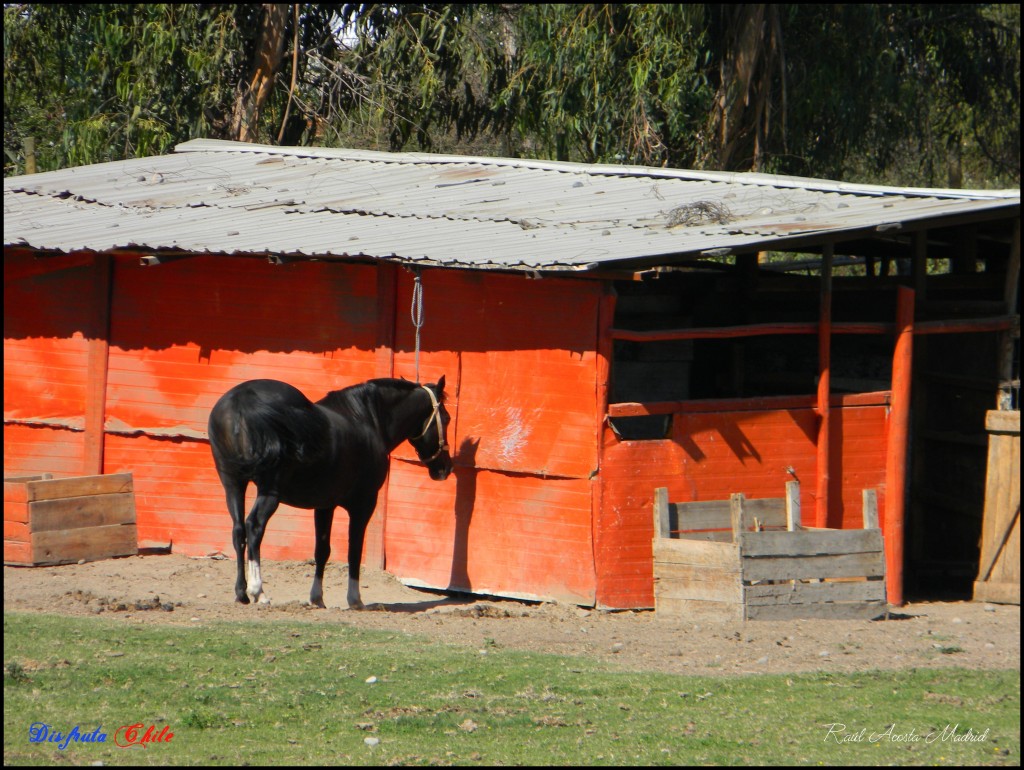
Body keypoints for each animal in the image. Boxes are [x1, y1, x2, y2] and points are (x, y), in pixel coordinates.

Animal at [207, 376, 452, 606]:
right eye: (447, 419)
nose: (445, 468)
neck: (366, 419)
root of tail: (241, 400)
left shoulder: (325, 505)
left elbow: (322, 549)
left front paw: (317, 598)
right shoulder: (364, 504)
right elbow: (354, 549)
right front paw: (355, 599)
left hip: (233, 485)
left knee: (238, 530)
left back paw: (241, 592)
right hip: (269, 491)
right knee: (254, 526)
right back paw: (258, 591)